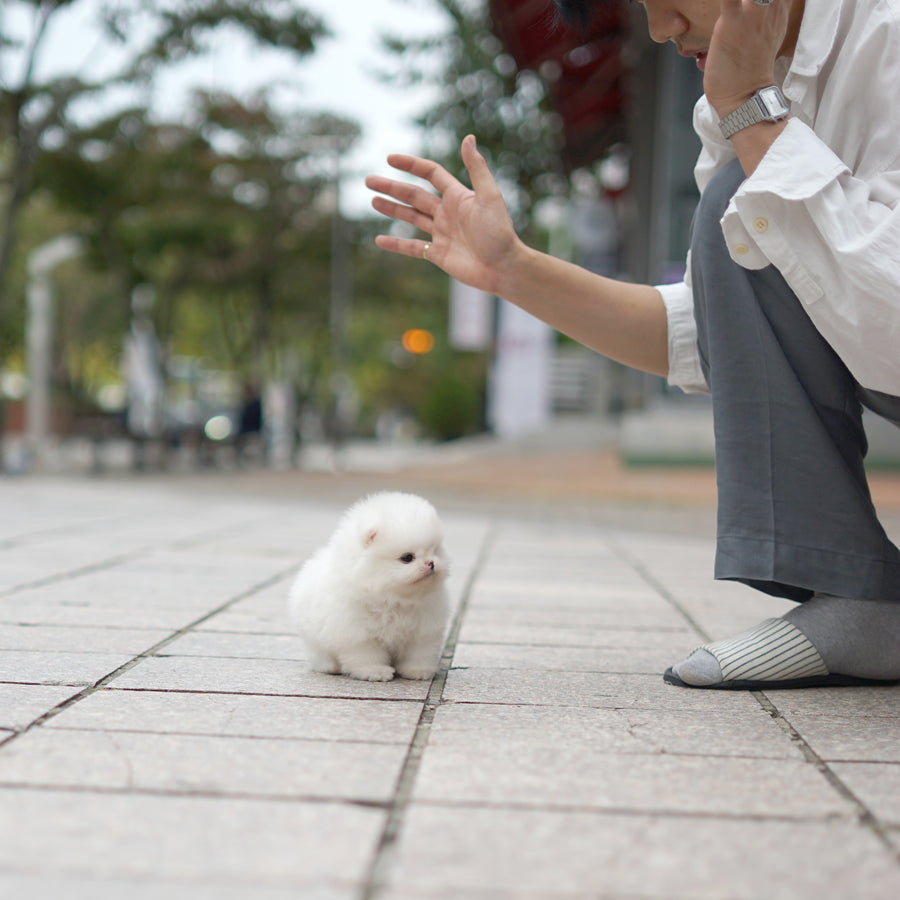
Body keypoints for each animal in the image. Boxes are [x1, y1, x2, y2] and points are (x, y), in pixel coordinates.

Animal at [288, 492, 450, 684]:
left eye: (435, 551)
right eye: (407, 558)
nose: (431, 563)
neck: (393, 599)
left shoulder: (423, 629)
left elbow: (419, 652)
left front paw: (418, 671)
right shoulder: (357, 632)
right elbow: (367, 654)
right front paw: (375, 671)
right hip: (314, 639)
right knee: (320, 655)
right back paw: (331, 667)